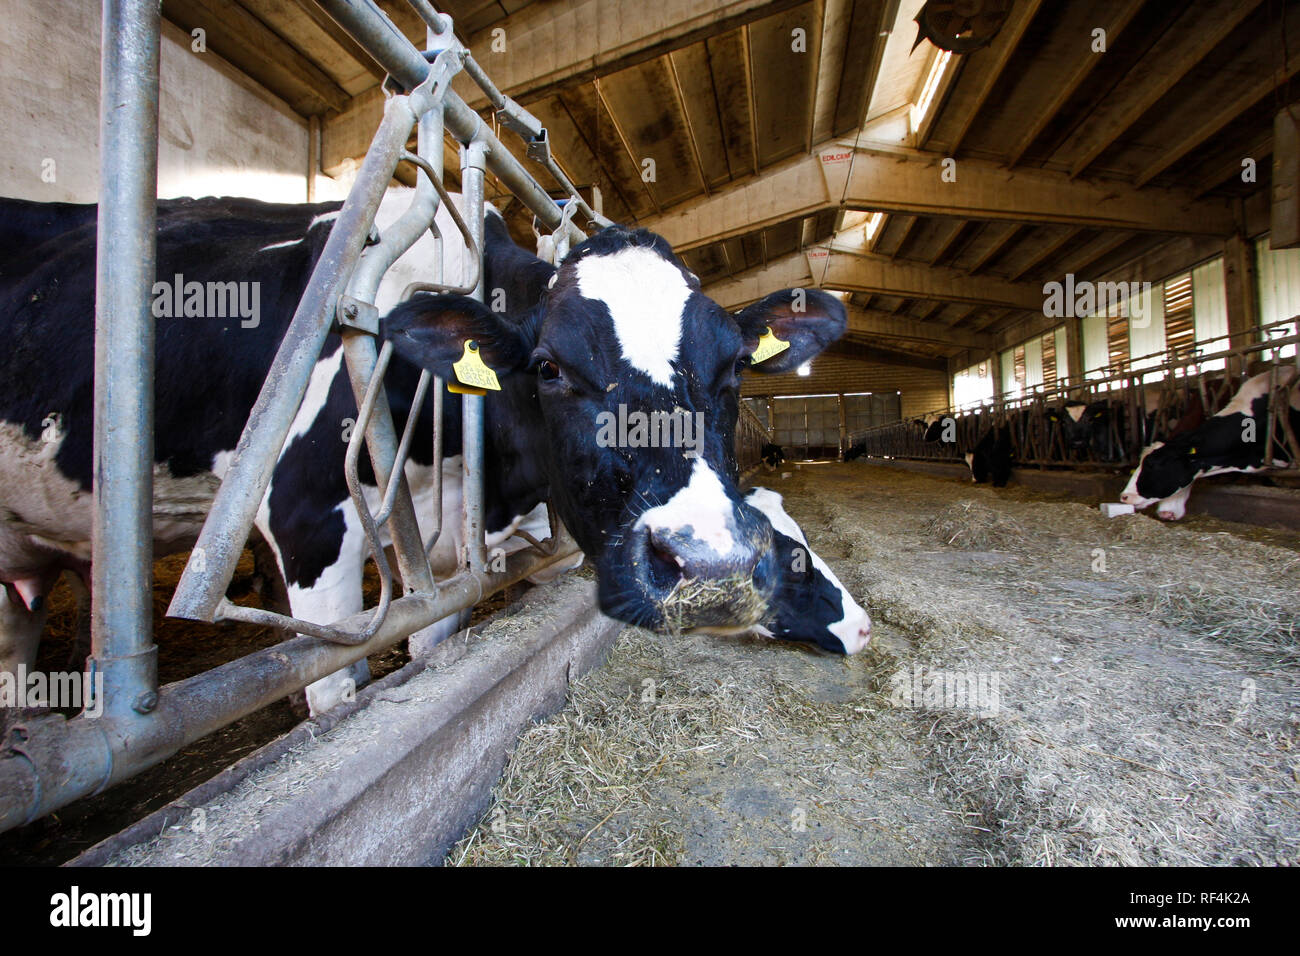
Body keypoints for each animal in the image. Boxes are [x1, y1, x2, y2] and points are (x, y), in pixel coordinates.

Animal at [0, 192, 847, 712]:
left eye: (733, 367)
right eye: (549, 368)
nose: (713, 569)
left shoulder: (439, 563)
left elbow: (431, 646)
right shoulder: (310, 527)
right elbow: (333, 692)